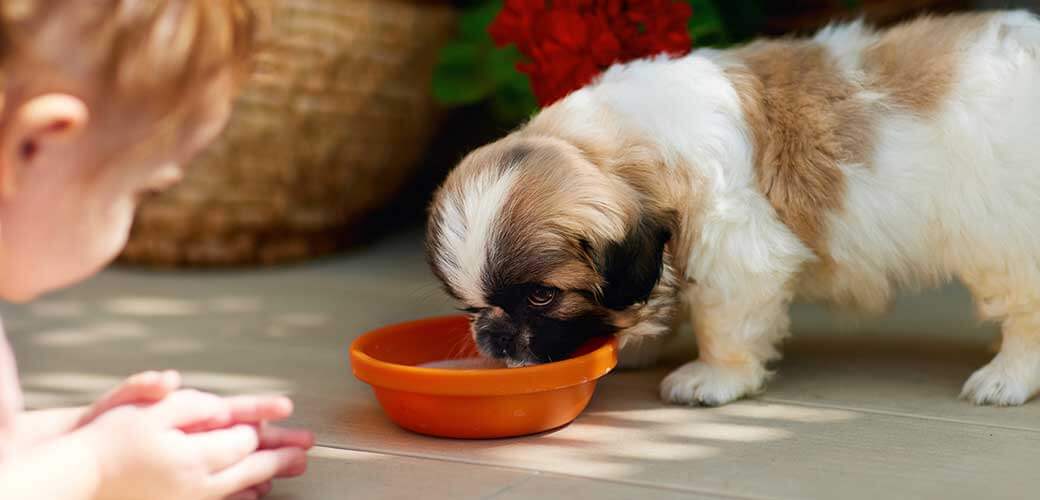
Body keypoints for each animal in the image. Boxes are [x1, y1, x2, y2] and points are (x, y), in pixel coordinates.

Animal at [426, 10, 1040, 405]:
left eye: (542, 296)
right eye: (468, 306)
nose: (496, 337)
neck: (627, 141)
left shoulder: (734, 247)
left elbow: (725, 321)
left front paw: (712, 379)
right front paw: (635, 342)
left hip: (1005, 238)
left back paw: (1006, 376)